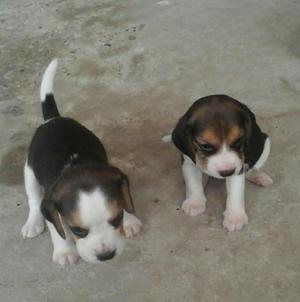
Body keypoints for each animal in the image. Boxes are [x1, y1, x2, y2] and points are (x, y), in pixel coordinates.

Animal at [22, 59, 142, 266]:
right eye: (78, 231)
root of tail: (54, 119)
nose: (106, 255)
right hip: (29, 172)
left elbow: (125, 198)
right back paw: (33, 222)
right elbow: (57, 229)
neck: (78, 167)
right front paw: (64, 251)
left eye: (117, 219)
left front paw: (130, 220)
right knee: (34, 200)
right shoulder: (51, 205)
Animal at [171, 94, 272, 231]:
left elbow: (235, 193)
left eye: (239, 141)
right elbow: (193, 183)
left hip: (264, 143)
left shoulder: (238, 167)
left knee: (251, 167)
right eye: (205, 146)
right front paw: (194, 202)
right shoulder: (188, 161)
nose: (227, 172)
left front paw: (235, 216)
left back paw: (258, 176)